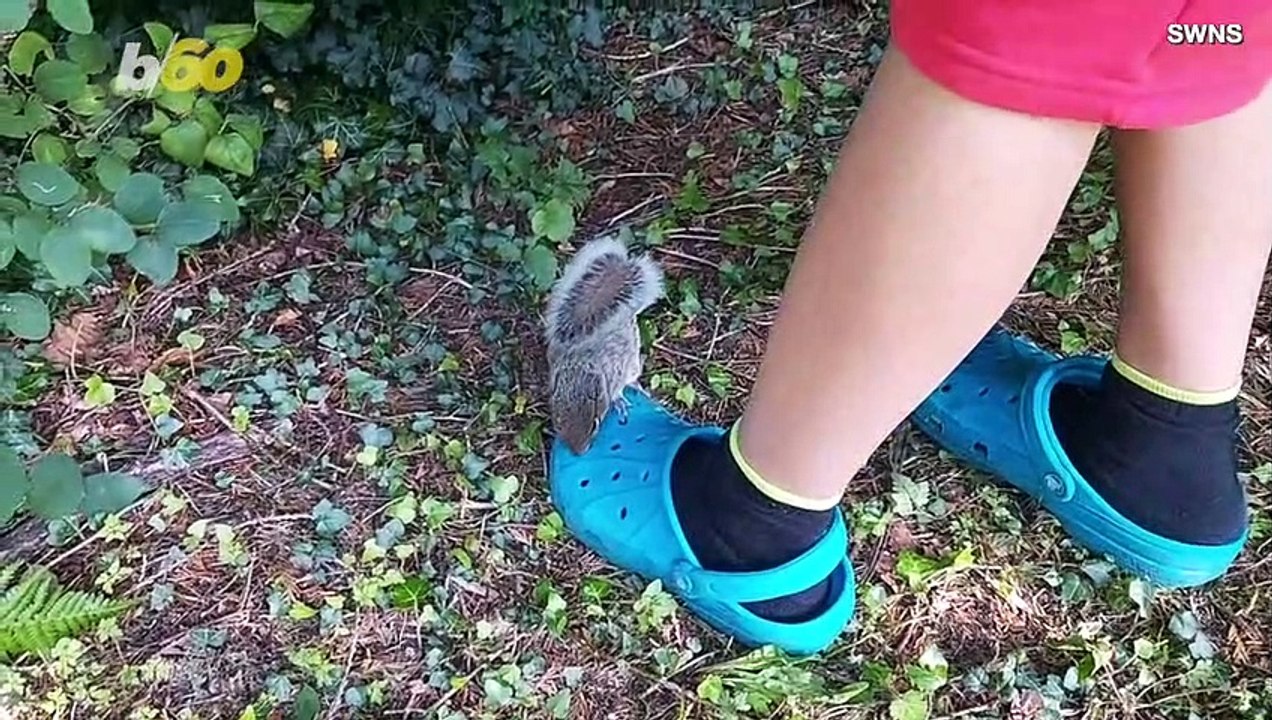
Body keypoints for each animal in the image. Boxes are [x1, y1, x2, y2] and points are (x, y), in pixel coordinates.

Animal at [545, 235, 665, 454]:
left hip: (632, 362)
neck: (580, 371)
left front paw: (619, 401)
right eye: (557, 423)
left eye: (595, 425)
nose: (579, 452)